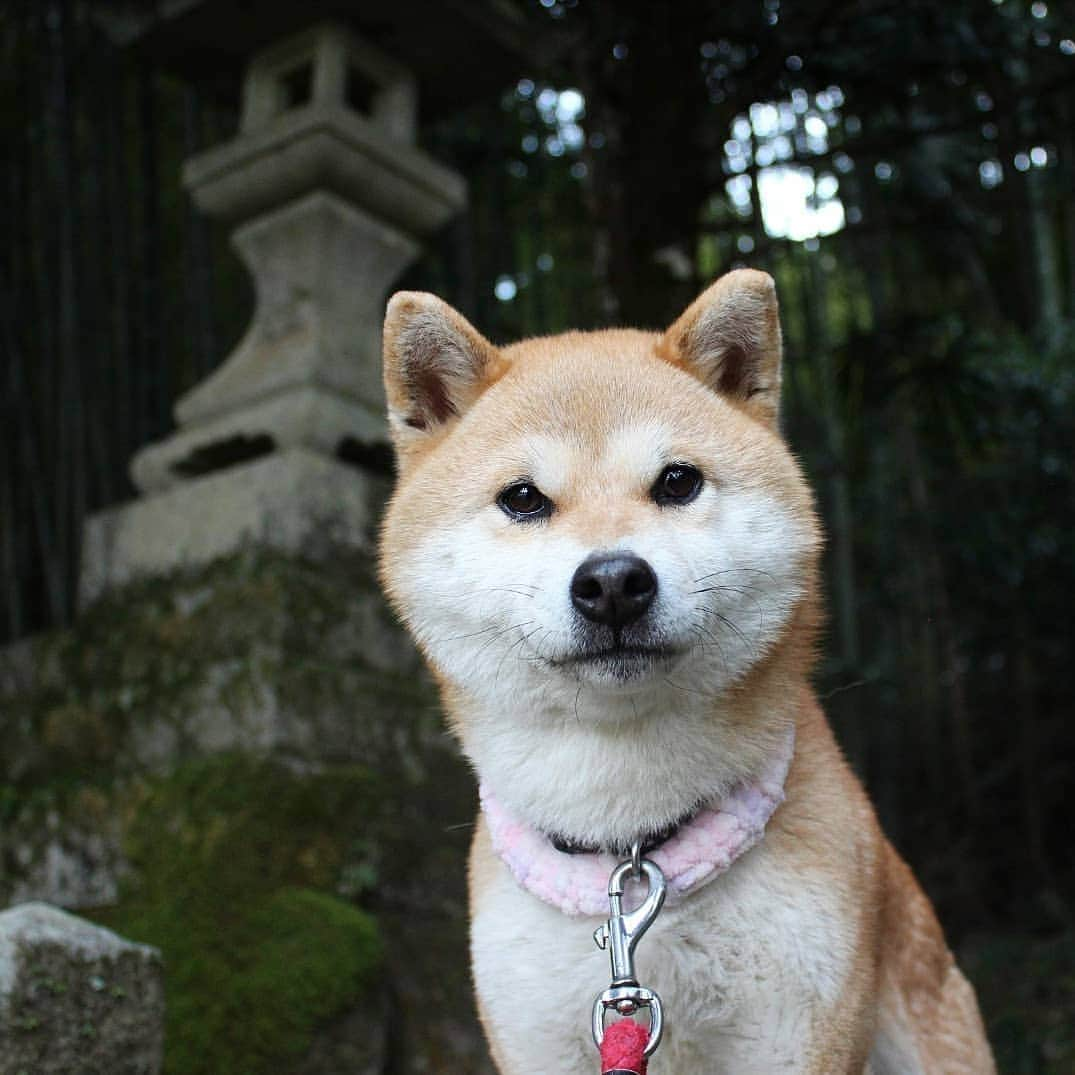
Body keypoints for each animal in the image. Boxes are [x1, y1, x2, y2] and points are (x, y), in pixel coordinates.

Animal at [376, 270, 989, 1075]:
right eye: (522, 498)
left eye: (676, 482)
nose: (611, 581)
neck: (630, 850)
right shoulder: (540, 1034)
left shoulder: (797, 1031)